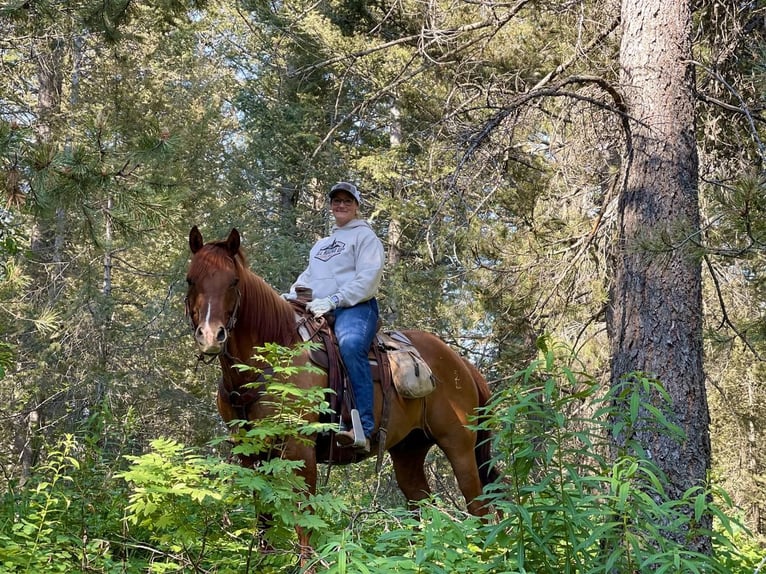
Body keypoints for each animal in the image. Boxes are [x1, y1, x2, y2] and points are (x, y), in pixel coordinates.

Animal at [184, 225, 500, 568]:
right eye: (191, 279)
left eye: (233, 281)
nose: (211, 336)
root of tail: (463, 364)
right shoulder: (249, 450)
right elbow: (264, 518)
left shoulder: (300, 447)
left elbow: (305, 518)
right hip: (409, 451)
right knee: (421, 507)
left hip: (460, 446)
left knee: (479, 507)